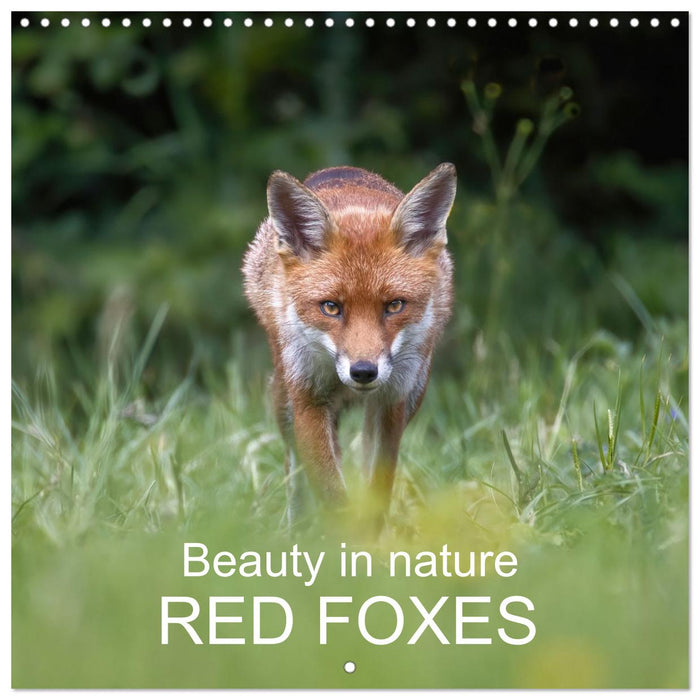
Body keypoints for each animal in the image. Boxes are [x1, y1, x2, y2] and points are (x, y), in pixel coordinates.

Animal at [242, 163, 456, 528]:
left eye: (394, 305)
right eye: (331, 307)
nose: (364, 371)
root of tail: (341, 169)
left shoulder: (392, 401)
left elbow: (377, 492)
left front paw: (368, 537)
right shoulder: (308, 398)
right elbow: (332, 494)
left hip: (413, 393)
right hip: (283, 401)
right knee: (296, 471)